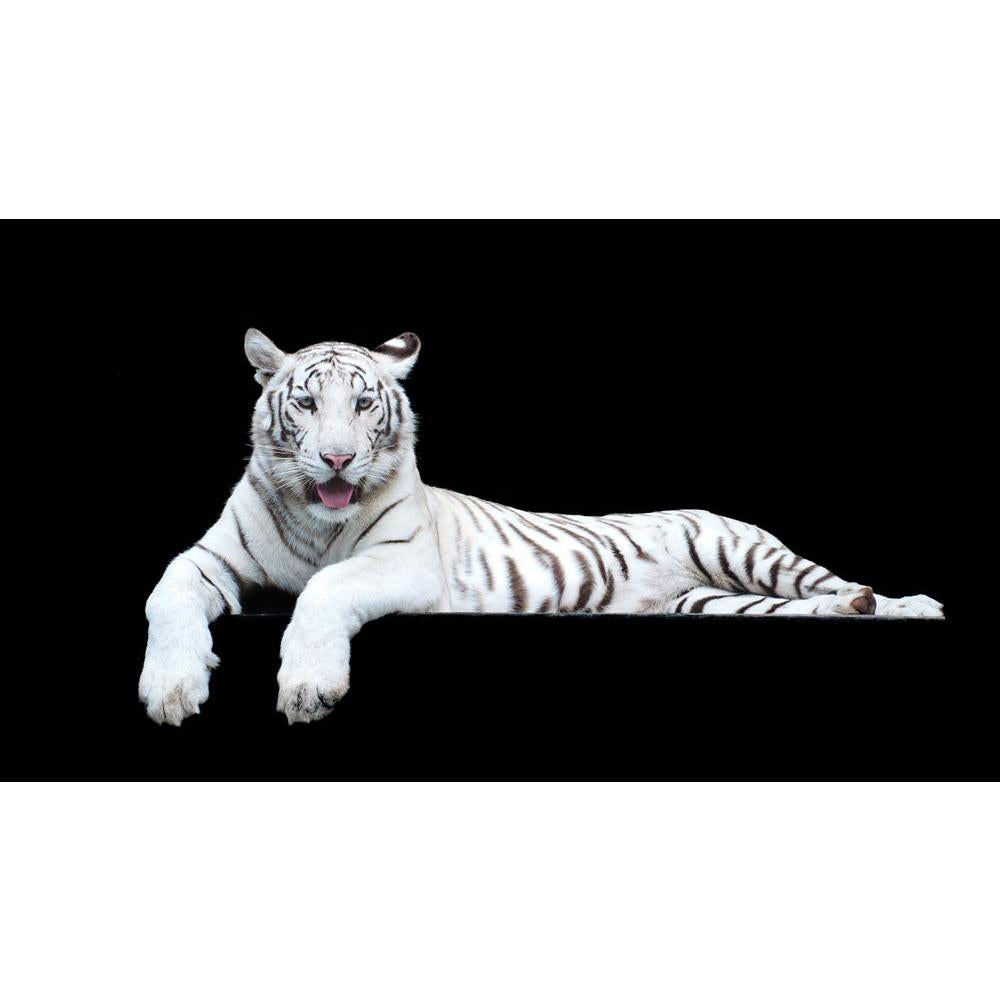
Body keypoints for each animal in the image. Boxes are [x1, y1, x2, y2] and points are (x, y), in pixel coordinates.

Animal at [140, 329, 945, 725]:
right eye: (307, 404)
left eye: (364, 404)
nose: (337, 458)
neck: (317, 517)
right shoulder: (211, 559)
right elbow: (165, 596)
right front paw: (172, 690)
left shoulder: (404, 563)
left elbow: (324, 590)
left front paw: (308, 687)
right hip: (714, 603)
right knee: (805, 607)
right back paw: (855, 610)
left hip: (739, 549)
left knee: (830, 582)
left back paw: (907, 605)